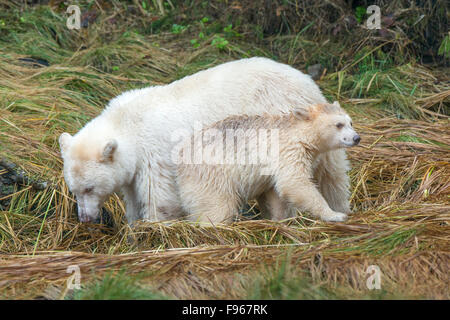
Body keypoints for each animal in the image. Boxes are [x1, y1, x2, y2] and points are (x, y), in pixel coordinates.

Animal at [58, 57, 350, 222]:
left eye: (89, 188)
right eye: (74, 190)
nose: (85, 218)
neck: (127, 122)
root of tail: (306, 80)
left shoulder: (155, 154)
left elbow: (160, 198)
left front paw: (154, 230)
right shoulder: (134, 165)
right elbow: (132, 195)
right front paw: (133, 225)